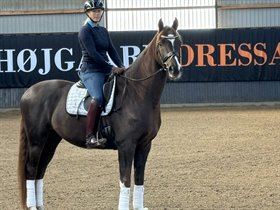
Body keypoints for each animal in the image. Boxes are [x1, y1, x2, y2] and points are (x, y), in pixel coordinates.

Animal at [18, 18, 184, 210]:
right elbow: (125, 180)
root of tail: (29, 92)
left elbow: (139, 178)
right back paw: (31, 205)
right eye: (160, 43)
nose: (174, 69)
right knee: (31, 168)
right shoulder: (126, 145)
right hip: (37, 140)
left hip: (51, 139)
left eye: (178, 42)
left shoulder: (144, 145)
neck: (137, 93)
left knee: (41, 168)